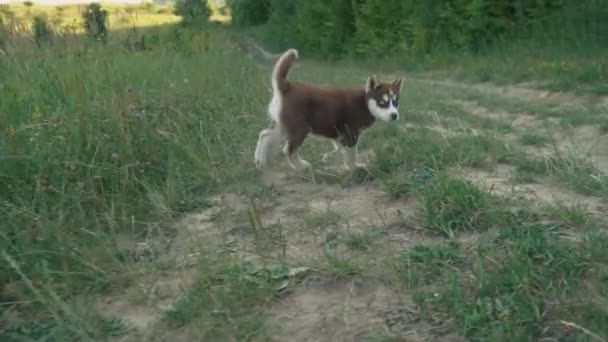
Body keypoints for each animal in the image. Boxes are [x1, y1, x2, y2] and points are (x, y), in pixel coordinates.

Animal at [254, 48, 402, 171]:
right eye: (382, 103)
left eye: (395, 102)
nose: (394, 115)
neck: (364, 102)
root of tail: (287, 86)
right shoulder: (351, 133)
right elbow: (352, 153)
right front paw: (354, 167)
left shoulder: (341, 135)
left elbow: (341, 149)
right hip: (299, 128)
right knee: (289, 150)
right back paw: (301, 166)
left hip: (283, 125)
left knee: (264, 135)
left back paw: (260, 161)